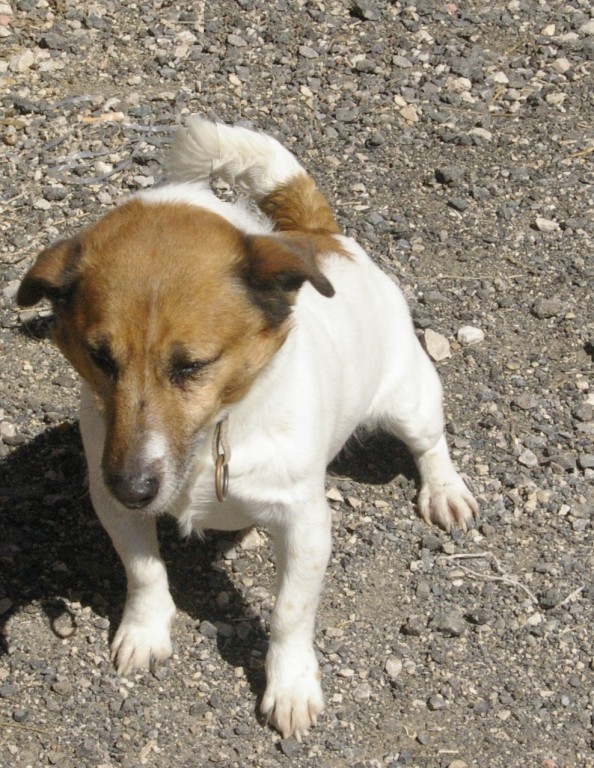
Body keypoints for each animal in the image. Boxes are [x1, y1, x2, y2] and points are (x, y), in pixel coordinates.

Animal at [17, 118, 476, 736]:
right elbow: (143, 571)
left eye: (192, 365)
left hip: (409, 398)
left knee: (430, 443)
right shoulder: (111, 501)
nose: (134, 488)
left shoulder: (305, 524)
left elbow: (289, 613)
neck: (220, 430)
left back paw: (445, 489)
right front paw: (145, 630)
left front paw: (290, 685)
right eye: (100, 359)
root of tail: (319, 233)